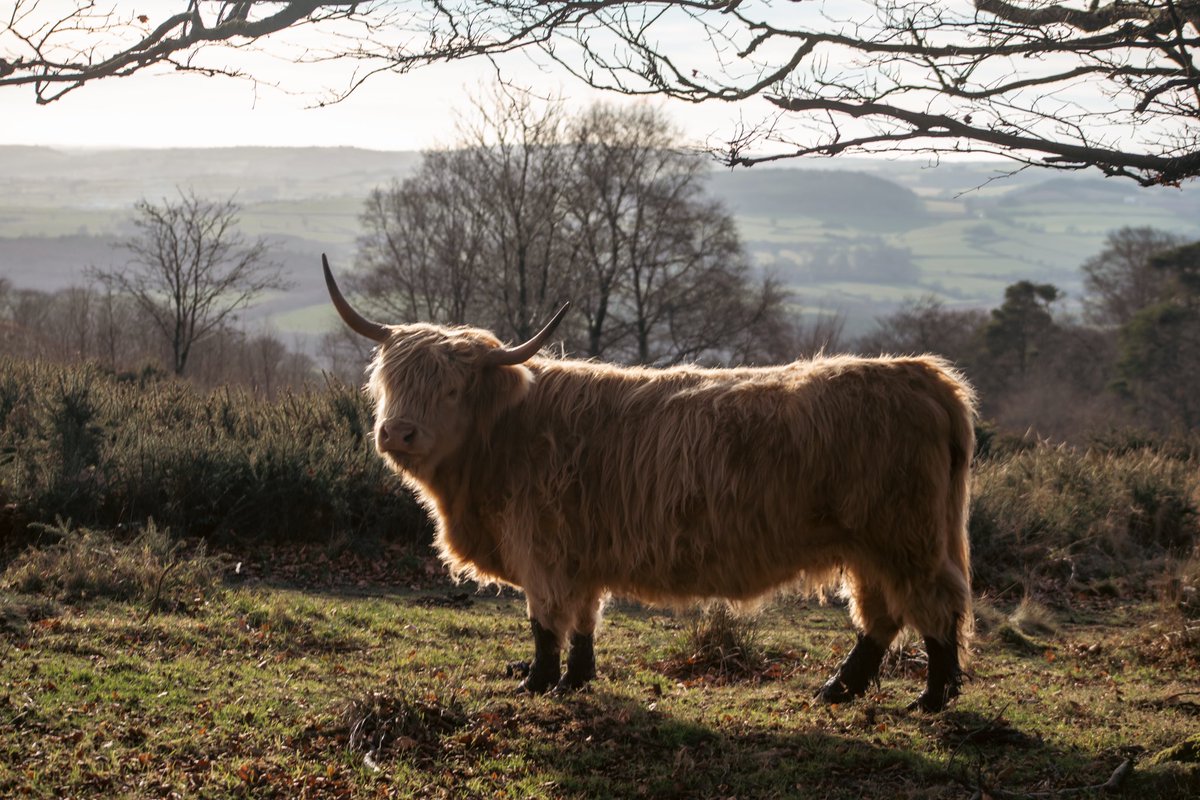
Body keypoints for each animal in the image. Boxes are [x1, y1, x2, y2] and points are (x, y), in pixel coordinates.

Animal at [323, 255, 976, 712]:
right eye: (389, 382)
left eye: (452, 389)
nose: (397, 432)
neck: (502, 438)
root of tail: (925, 375)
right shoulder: (580, 553)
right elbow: (584, 621)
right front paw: (576, 681)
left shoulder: (542, 549)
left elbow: (545, 621)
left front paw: (537, 683)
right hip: (872, 546)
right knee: (881, 617)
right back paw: (838, 688)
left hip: (904, 536)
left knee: (934, 604)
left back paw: (931, 698)